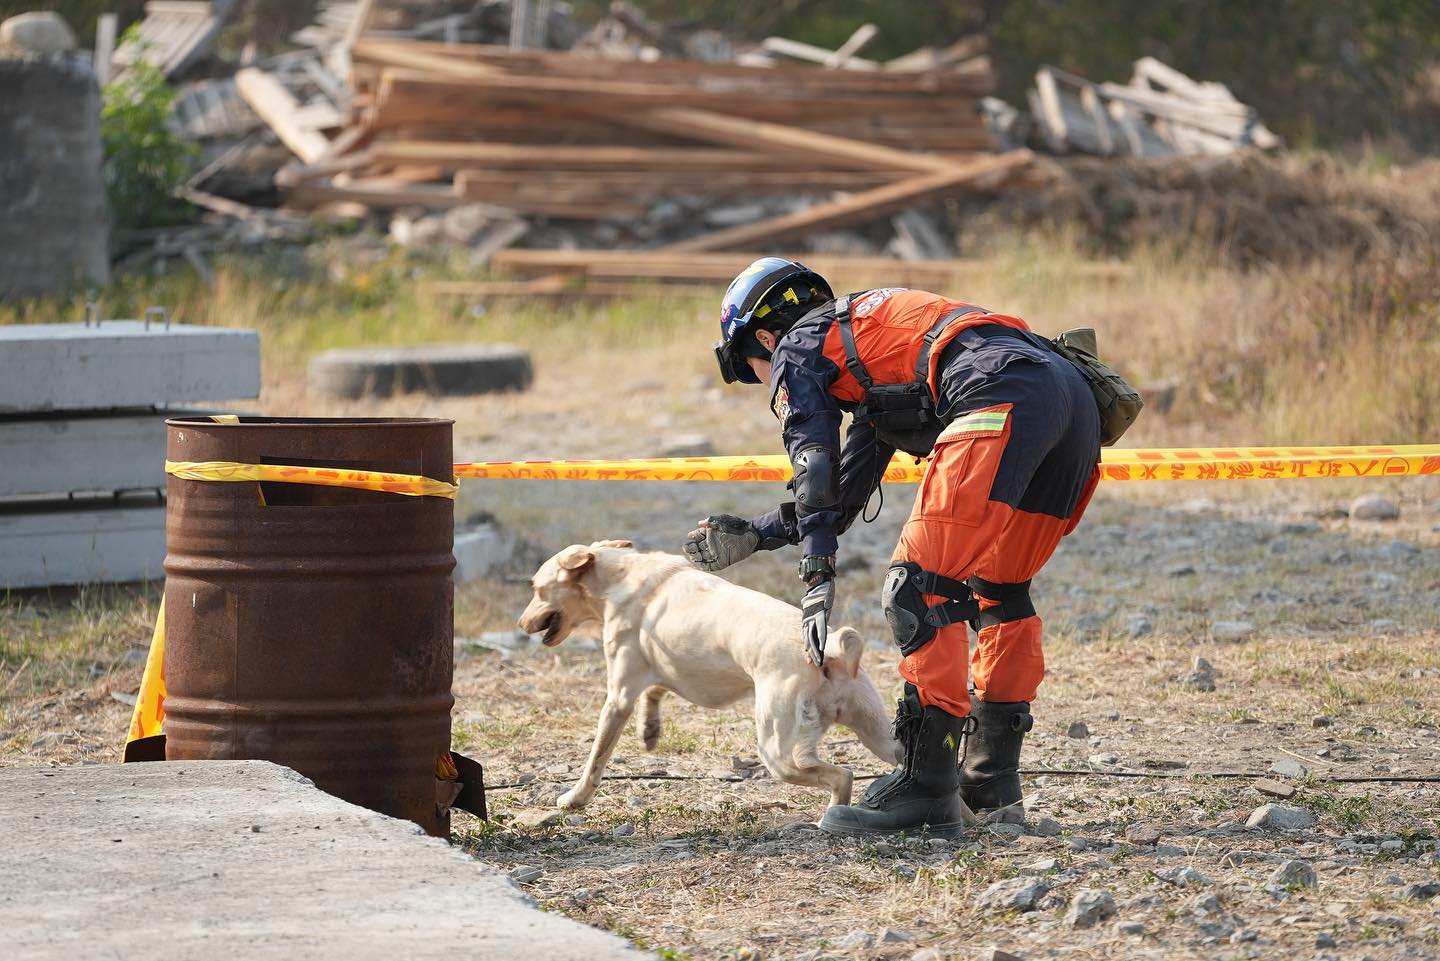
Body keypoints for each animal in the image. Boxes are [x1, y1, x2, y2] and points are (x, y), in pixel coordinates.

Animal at [518, 541, 898, 812]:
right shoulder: (669, 672)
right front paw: (649, 730)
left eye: (536, 588)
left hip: (777, 752)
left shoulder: (619, 696)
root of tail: (831, 651)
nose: (520, 624)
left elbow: (596, 758)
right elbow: (655, 692)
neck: (621, 577)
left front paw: (575, 798)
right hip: (876, 734)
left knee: (842, 774)